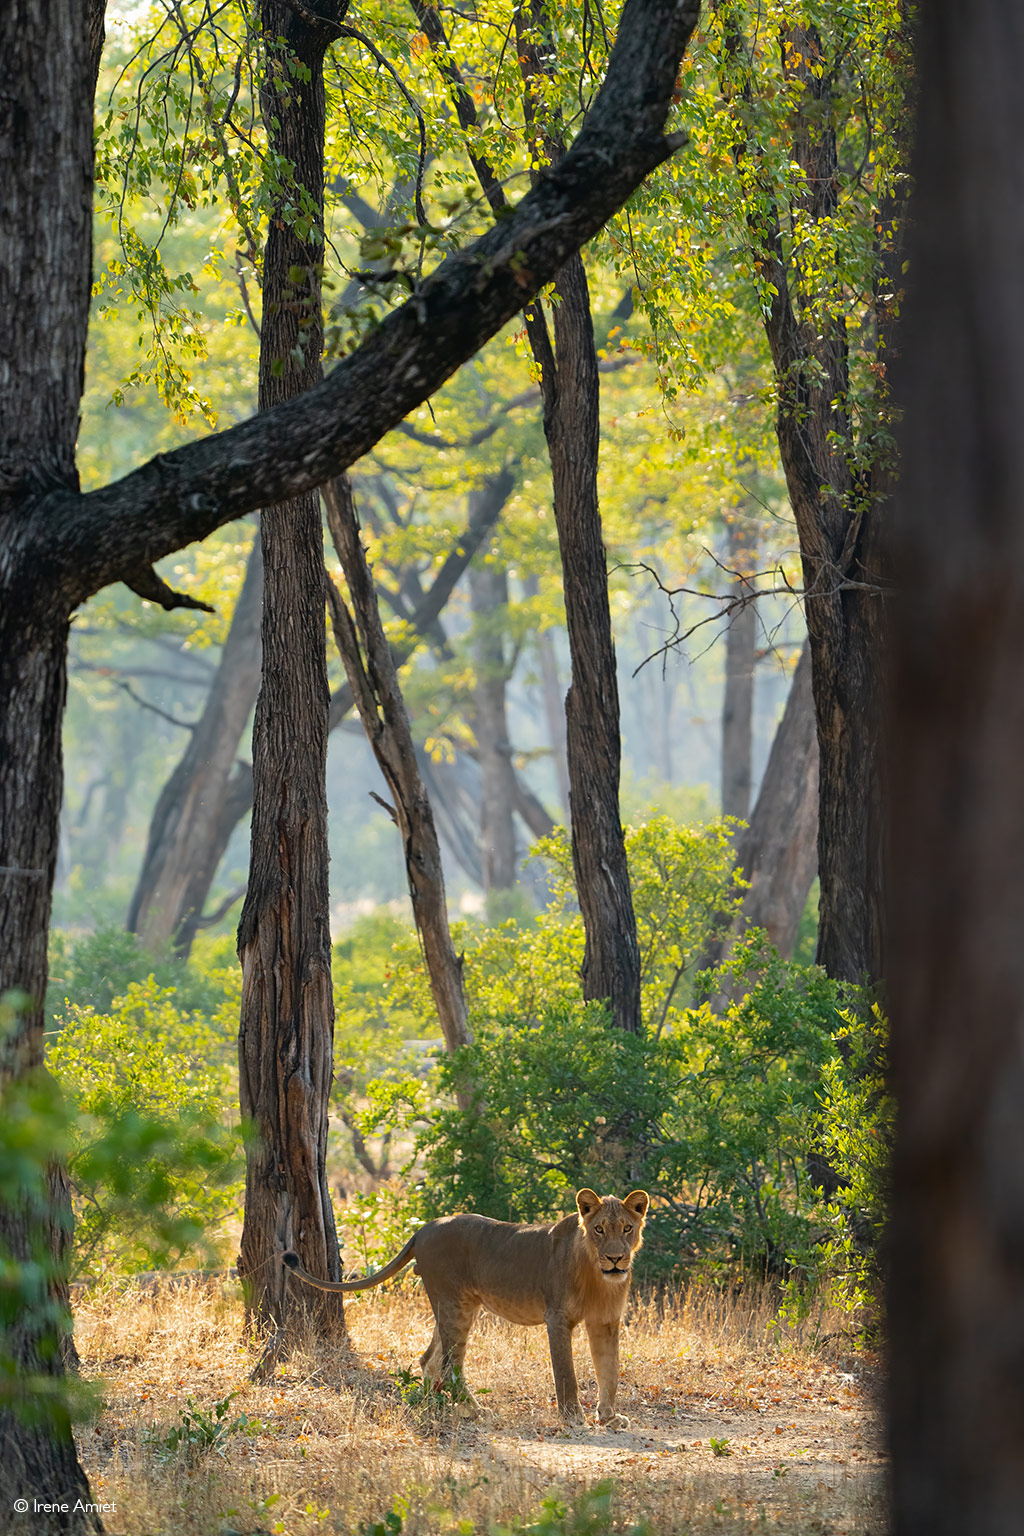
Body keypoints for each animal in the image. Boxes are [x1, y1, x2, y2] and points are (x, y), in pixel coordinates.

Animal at [282, 1185, 647, 1425]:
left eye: (627, 1228)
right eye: (599, 1229)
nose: (616, 1259)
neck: (598, 1278)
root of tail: (423, 1228)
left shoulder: (605, 1321)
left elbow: (609, 1370)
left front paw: (609, 1417)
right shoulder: (556, 1317)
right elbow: (566, 1373)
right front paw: (572, 1417)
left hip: (454, 1305)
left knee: (429, 1358)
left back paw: (431, 1406)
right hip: (456, 1305)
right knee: (449, 1366)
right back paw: (474, 1410)